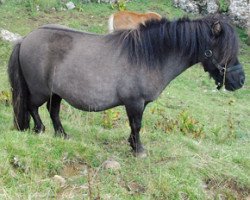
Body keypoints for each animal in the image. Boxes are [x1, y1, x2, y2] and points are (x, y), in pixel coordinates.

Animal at [8, 14, 246, 158]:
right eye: (225, 52)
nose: (241, 80)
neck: (150, 55)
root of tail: (25, 39)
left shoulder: (140, 104)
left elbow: (134, 125)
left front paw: (132, 144)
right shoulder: (134, 102)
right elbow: (137, 125)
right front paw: (138, 150)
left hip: (55, 92)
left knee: (53, 111)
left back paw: (62, 134)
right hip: (40, 91)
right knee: (33, 107)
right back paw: (40, 130)